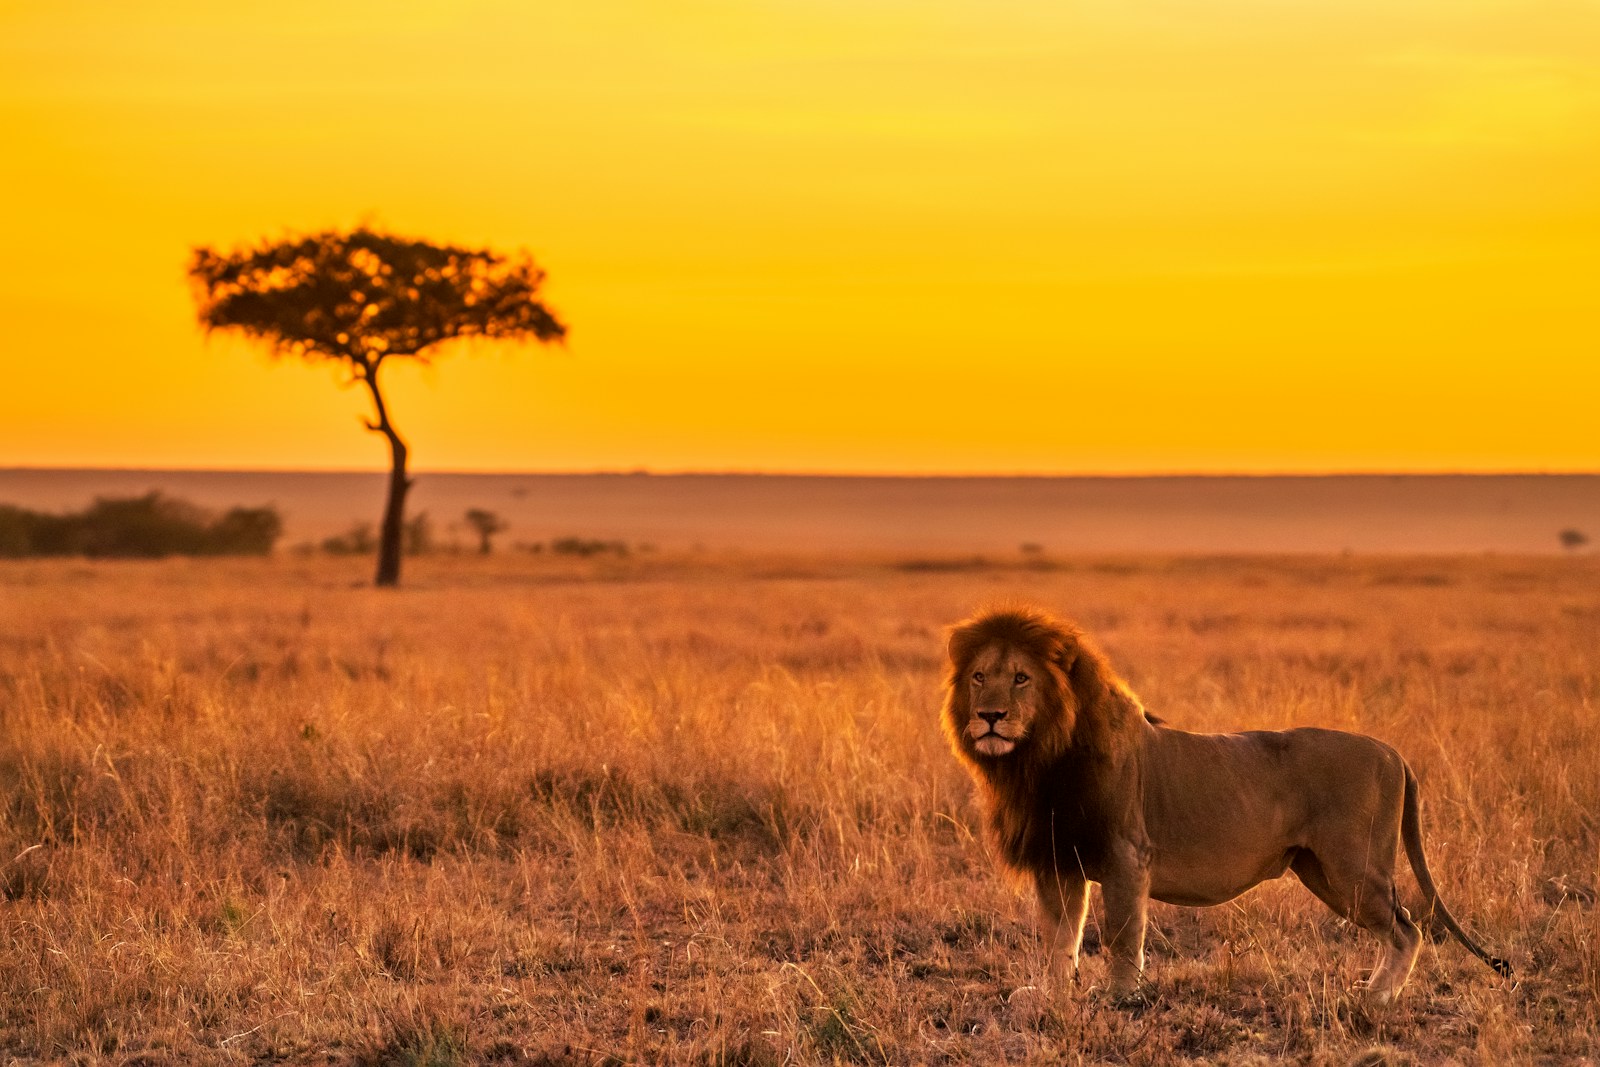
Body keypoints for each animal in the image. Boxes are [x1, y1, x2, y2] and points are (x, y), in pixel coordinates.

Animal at [940, 606, 1511, 1004]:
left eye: (1021, 678)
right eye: (979, 677)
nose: (989, 716)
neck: (1038, 760)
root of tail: (1391, 751)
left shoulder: (1127, 855)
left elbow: (1123, 934)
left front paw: (1121, 998)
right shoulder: (1059, 860)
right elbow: (1060, 935)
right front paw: (1051, 995)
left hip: (1353, 866)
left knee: (1407, 928)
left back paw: (1376, 999)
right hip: (1321, 872)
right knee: (1400, 926)